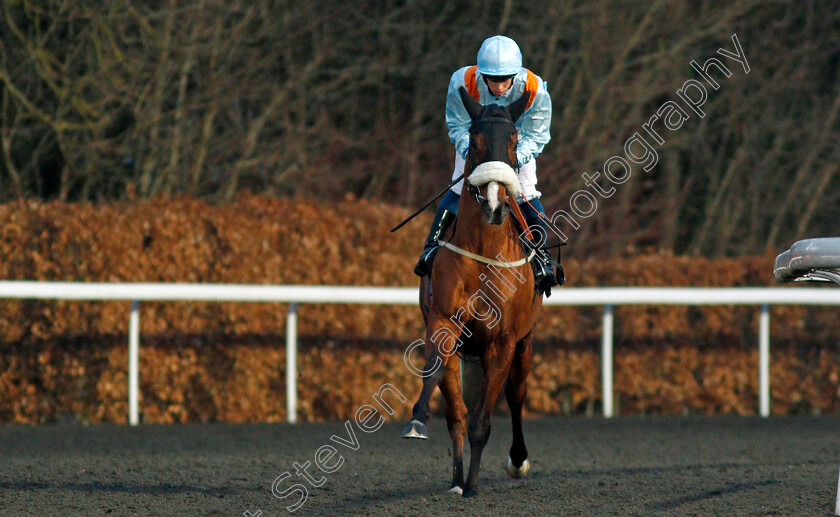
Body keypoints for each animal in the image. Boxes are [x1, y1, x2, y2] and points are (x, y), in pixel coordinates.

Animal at [402, 86, 544, 498]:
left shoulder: (504, 341)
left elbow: (483, 419)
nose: (495, 203)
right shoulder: (444, 322)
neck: (483, 252)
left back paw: (518, 460)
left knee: (515, 395)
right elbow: (453, 408)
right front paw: (421, 425)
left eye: (513, 140)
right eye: (475, 140)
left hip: (525, 342)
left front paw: (474, 486)